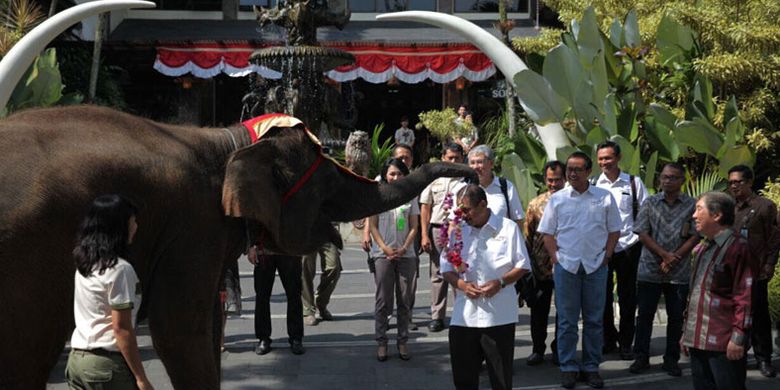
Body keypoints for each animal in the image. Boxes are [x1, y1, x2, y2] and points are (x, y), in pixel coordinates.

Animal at [0, 103, 476, 386]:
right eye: (325, 180)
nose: (469, 172)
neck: (227, 141)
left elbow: (210, 325)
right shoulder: (190, 225)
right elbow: (180, 331)